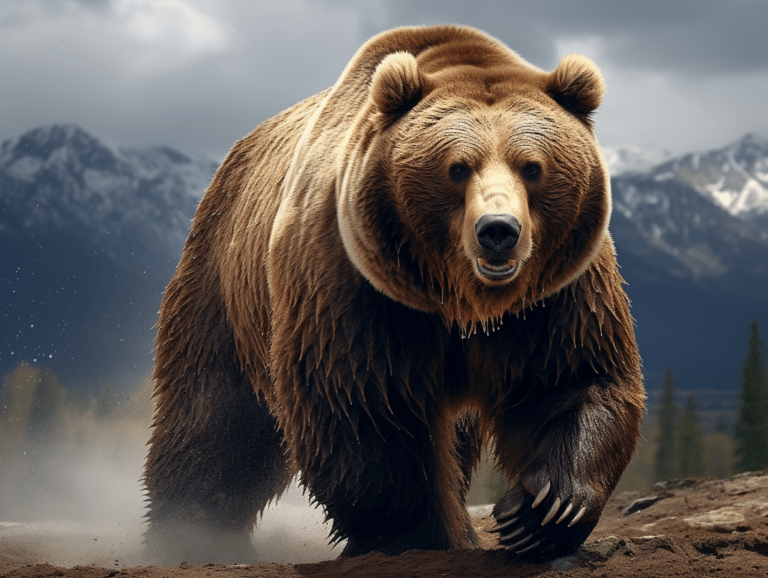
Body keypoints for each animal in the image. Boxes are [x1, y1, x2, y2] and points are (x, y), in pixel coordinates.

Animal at [143, 24, 644, 564]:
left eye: (532, 167)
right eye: (457, 167)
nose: (498, 231)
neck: (460, 297)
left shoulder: (554, 290)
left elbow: (567, 377)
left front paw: (541, 512)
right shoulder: (353, 280)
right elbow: (367, 407)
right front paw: (414, 535)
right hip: (225, 280)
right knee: (214, 415)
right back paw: (185, 532)